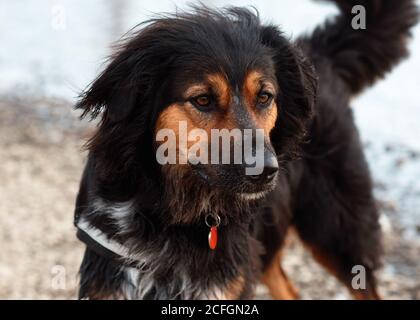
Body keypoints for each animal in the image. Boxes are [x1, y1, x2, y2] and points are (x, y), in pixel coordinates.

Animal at [74, 0, 418, 300]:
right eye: (203, 100)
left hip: (336, 230)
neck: (173, 213)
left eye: (264, 97)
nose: (266, 171)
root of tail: (318, 54)